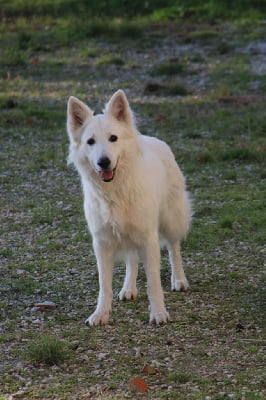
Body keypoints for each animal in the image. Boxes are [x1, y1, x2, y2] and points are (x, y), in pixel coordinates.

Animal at [66, 90, 191, 324]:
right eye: (90, 142)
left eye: (113, 138)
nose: (103, 162)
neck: (116, 191)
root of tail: (152, 139)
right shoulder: (102, 243)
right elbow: (104, 285)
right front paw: (101, 314)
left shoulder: (149, 238)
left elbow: (154, 282)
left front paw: (158, 313)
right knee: (132, 259)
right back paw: (128, 289)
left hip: (171, 219)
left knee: (174, 248)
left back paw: (179, 280)